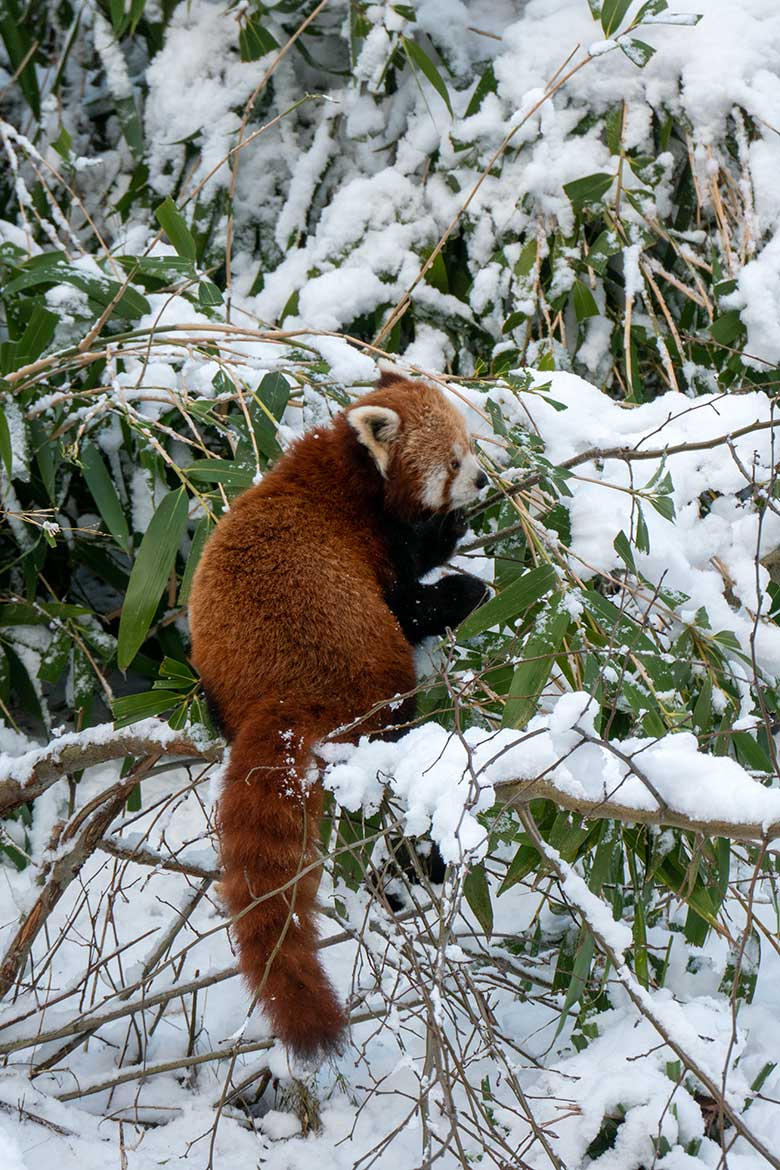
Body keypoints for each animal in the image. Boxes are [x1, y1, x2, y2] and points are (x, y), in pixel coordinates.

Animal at [187, 372, 488, 1062]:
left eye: (469, 445)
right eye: (453, 462)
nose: (484, 481)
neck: (341, 470)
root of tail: (284, 696)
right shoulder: (379, 538)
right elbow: (414, 571)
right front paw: (453, 533)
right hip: (369, 659)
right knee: (405, 645)